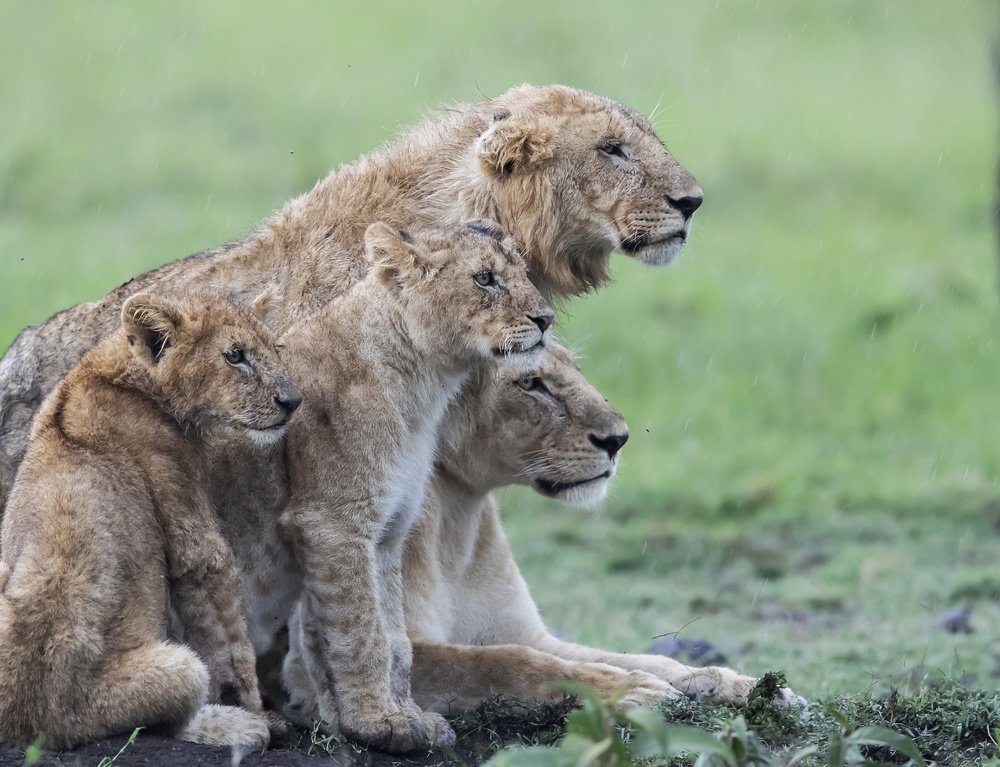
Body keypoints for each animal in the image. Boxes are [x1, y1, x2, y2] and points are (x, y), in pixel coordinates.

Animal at [0, 292, 300, 752]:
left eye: (276, 348)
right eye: (235, 356)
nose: (293, 401)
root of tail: (25, 727)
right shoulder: (191, 523)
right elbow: (231, 640)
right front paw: (258, 711)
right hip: (173, 669)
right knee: (168, 721)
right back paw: (242, 726)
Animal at [276, 220, 548, 752]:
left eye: (523, 272)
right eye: (485, 278)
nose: (546, 318)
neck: (421, 388)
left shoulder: (388, 527)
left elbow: (393, 637)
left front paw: (404, 716)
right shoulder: (331, 523)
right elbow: (360, 633)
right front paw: (374, 723)